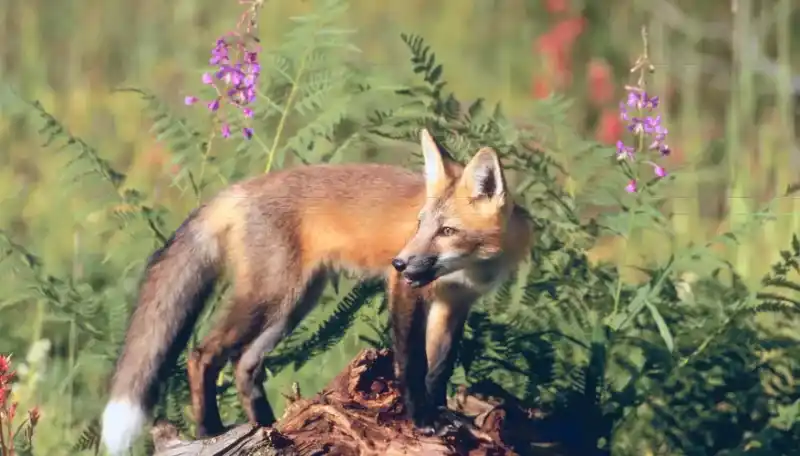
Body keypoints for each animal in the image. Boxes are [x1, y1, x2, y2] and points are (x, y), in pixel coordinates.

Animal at [100, 128, 533, 455]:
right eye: (419, 224)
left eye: (446, 230)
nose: (399, 261)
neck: (469, 269)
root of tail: (239, 190)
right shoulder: (408, 291)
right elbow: (412, 363)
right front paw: (422, 420)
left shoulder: (454, 303)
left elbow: (439, 368)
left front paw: (444, 415)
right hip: (269, 297)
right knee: (202, 354)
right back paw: (211, 433)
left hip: (293, 306)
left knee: (244, 364)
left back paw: (270, 431)